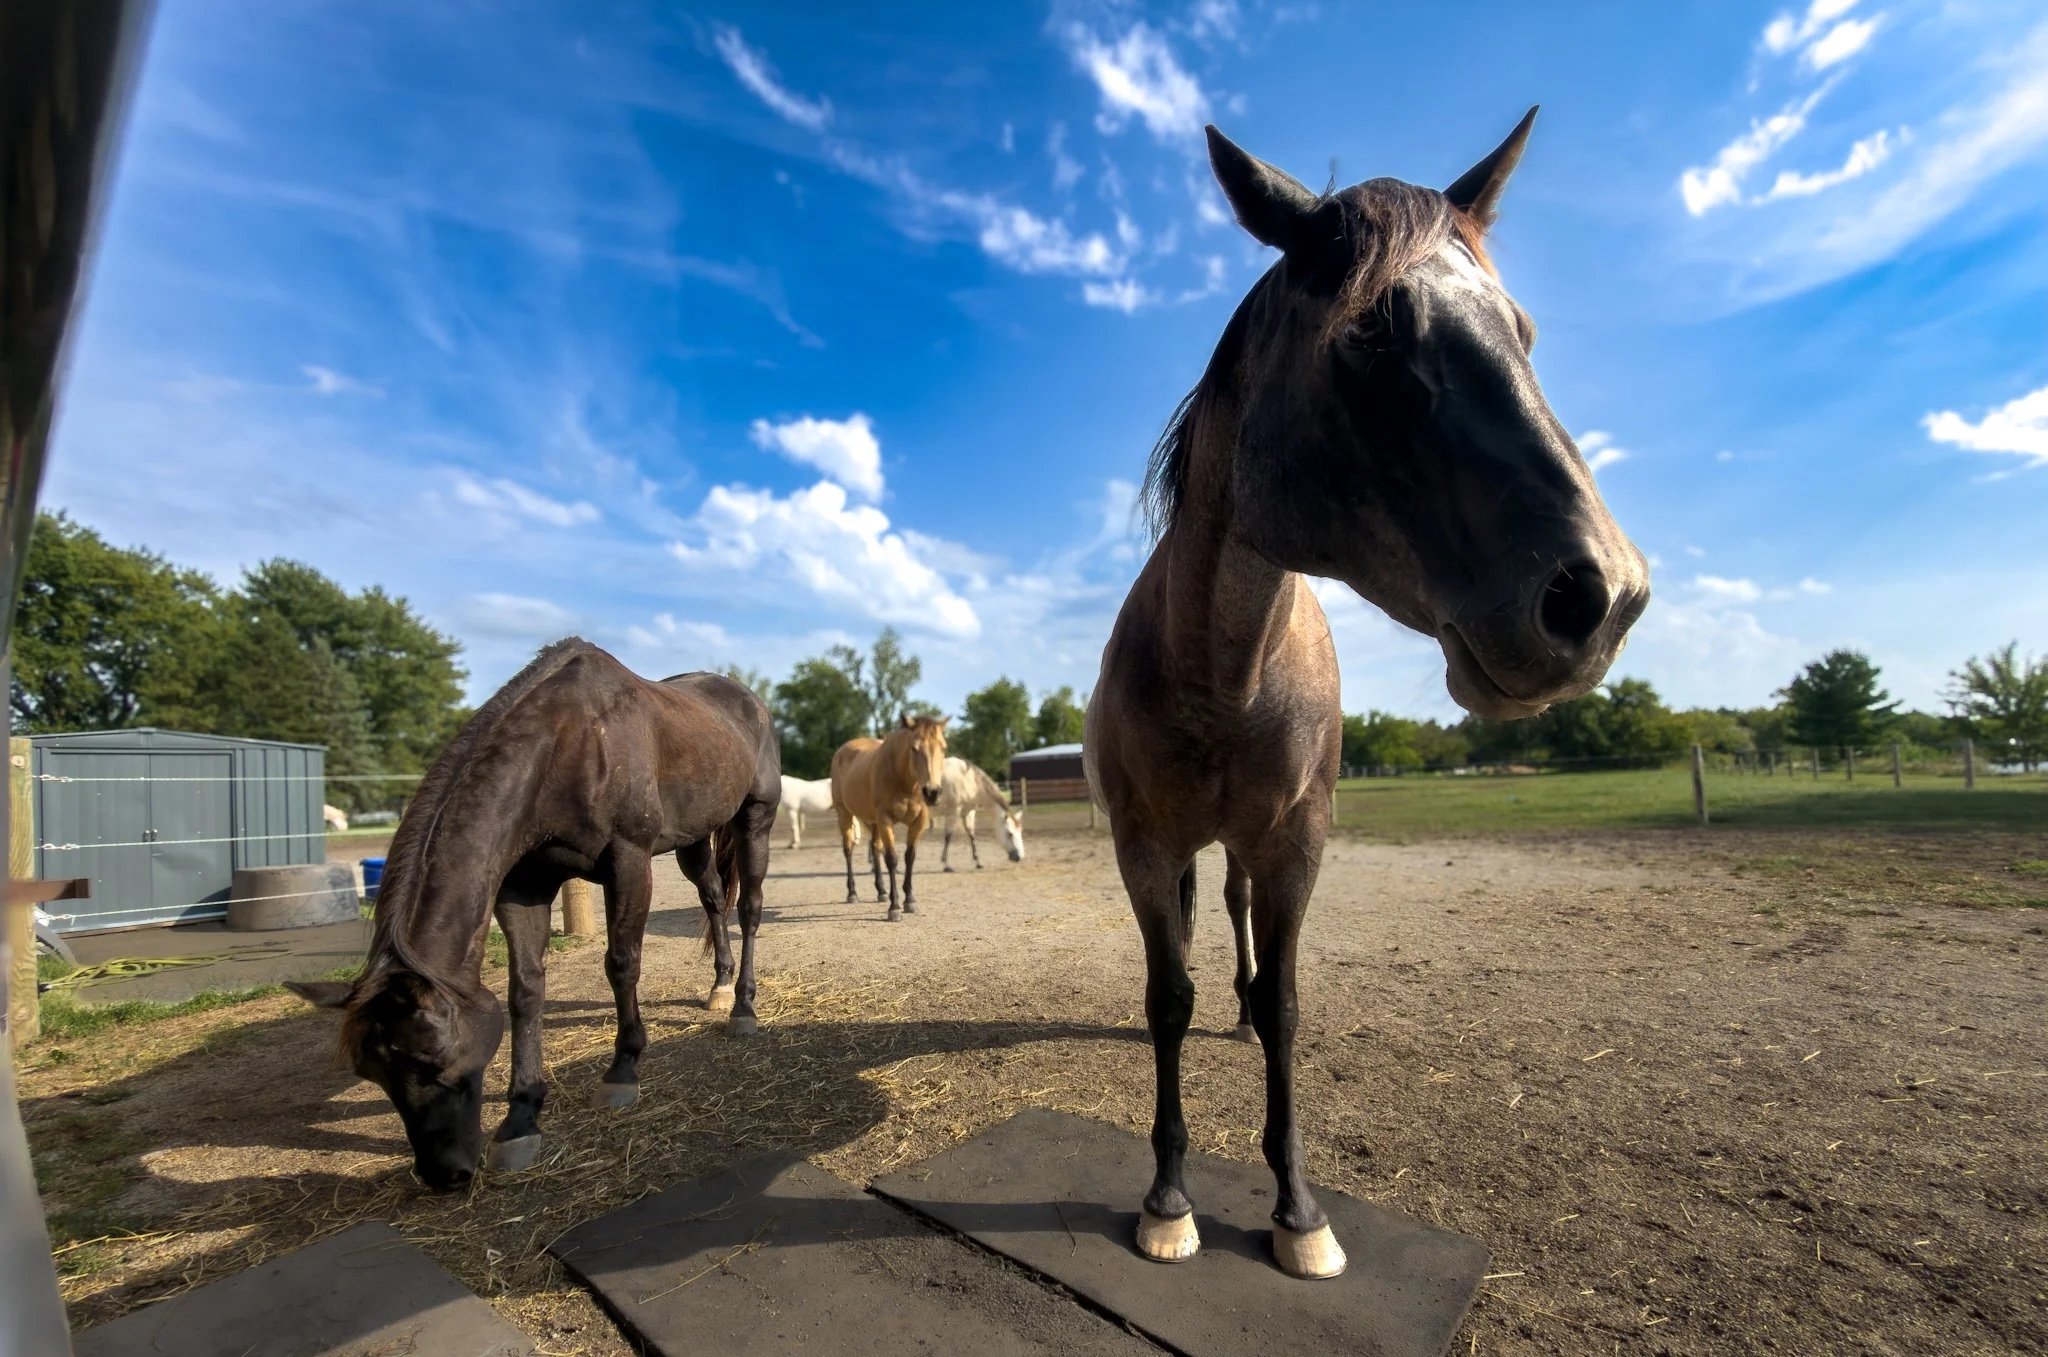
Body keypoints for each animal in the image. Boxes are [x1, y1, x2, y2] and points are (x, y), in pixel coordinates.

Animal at [286, 638, 781, 1191]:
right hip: (693, 838)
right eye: (369, 1073)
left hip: (755, 818)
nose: (445, 1175)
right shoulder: (523, 886)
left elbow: (622, 963)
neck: (567, 742)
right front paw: (521, 1120)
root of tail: (748, 700)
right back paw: (719, 987)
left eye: (432, 1059)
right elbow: (524, 992)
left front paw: (623, 1069)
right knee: (714, 901)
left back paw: (743, 1007)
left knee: (749, 907)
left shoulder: (629, 859)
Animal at [829, 715, 949, 920]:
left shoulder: (918, 822)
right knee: (848, 849)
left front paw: (910, 900)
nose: (932, 792)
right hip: (844, 812)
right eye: (914, 748)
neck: (904, 780)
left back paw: (881, 891)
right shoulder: (885, 819)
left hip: (872, 821)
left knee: (875, 848)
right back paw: (852, 893)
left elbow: (910, 857)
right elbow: (892, 858)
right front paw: (894, 908)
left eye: (943, 747)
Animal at [1084, 112, 1648, 1280]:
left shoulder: (1299, 843)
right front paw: (1167, 1198)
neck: (1227, 670)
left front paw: (1298, 1209)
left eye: (1523, 332)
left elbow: (1289, 1004)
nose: (1601, 595)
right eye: (1368, 336)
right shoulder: (1143, 845)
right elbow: (1167, 996)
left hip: (1252, 846)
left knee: (1240, 926)